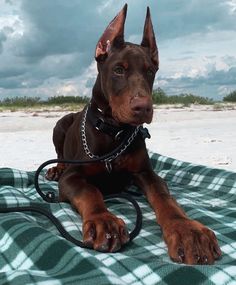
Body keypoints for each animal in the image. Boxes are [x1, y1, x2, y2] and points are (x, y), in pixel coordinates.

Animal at [46, 3, 221, 264]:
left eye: (151, 71)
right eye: (119, 69)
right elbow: (90, 191)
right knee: (59, 154)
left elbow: (164, 198)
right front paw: (103, 220)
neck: (115, 132)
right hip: (60, 124)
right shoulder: (73, 177)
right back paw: (56, 168)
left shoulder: (145, 173)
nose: (143, 108)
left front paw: (187, 230)